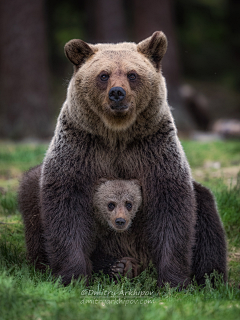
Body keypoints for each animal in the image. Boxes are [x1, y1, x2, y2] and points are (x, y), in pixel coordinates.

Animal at [18, 31, 227, 288]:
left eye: (132, 74)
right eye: (103, 75)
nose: (117, 93)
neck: (117, 135)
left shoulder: (152, 152)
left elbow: (171, 208)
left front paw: (173, 280)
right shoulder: (81, 150)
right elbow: (66, 209)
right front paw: (73, 276)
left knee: (207, 217)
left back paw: (210, 280)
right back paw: (117, 265)